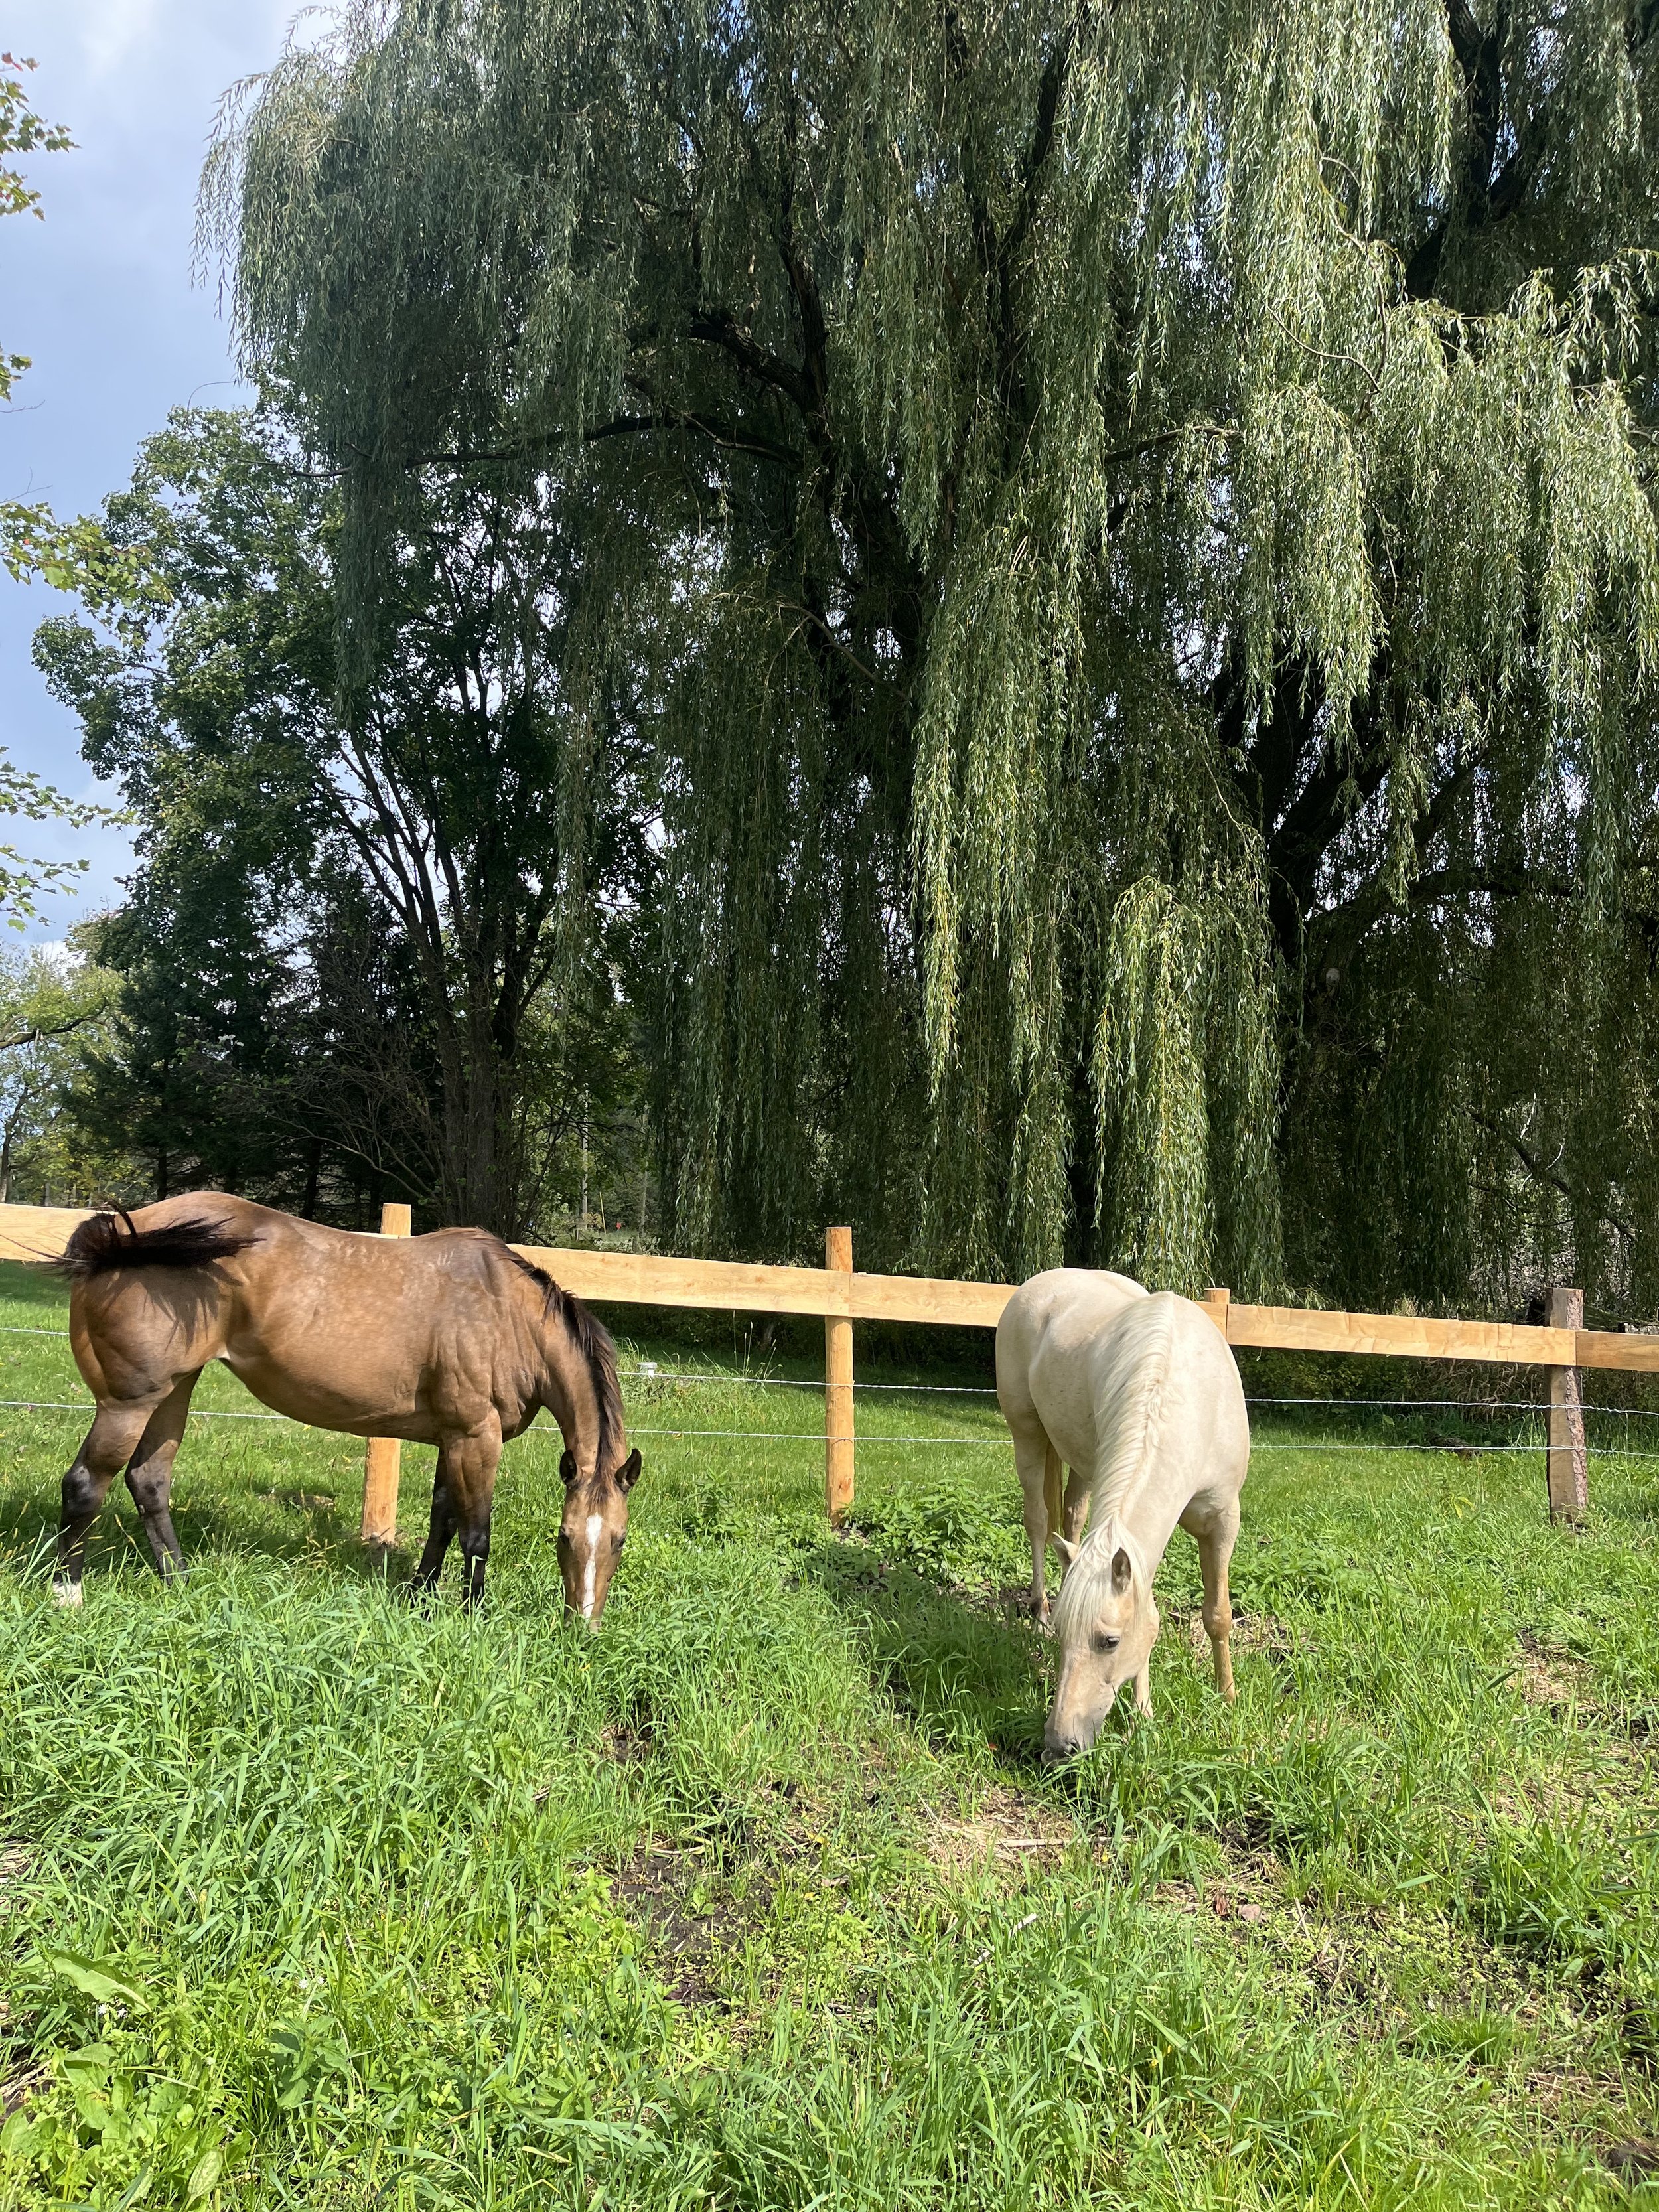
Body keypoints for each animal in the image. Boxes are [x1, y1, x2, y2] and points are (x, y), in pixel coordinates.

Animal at [49, 1196, 642, 1620]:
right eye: (564, 1537)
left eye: (619, 1539)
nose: (583, 1625)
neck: (506, 1314)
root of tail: (117, 1233)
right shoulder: (477, 1437)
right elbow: (476, 1534)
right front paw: (473, 1617)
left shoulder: (452, 1436)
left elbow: (442, 1520)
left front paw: (421, 1599)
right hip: (129, 1403)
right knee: (86, 1483)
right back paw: (67, 1594)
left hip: (175, 1390)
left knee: (149, 1480)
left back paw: (180, 1582)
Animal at [996, 1268, 1249, 1757]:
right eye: (1064, 1636)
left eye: (1108, 1641)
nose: (1059, 1745)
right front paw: (1143, 1716)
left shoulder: (1223, 1520)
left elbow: (1217, 1613)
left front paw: (1227, 1698)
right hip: (1027, 1433)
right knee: (1038, 1520)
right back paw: (1038, 1607)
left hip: (1082, 1463)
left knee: (1071, 1518)